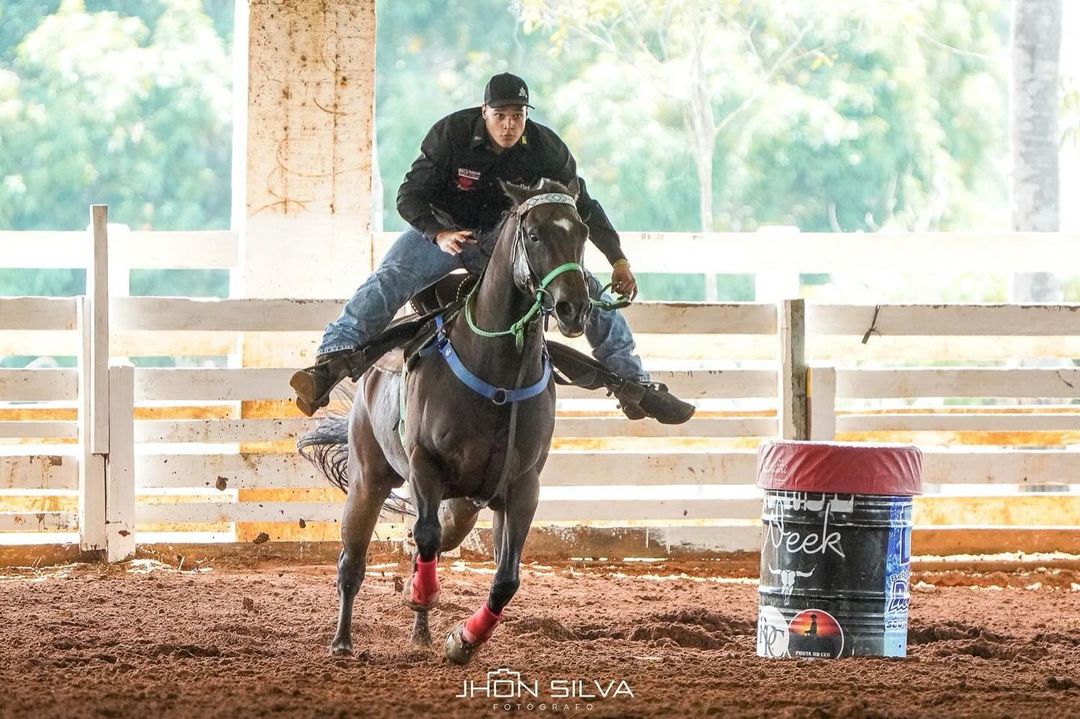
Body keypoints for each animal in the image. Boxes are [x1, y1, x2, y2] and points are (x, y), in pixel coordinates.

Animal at [300, 178, 596, 660]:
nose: (574, 308)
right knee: (354, 561)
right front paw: (422, 595)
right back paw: (343, 641)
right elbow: (424, 536)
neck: (496, 373)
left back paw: (421, 634)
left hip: (464, 506)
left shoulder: (523, 486)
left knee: (437, 542)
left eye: (582, 233)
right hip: (368, 479)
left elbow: (506, 578)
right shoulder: (425, 465)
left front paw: (463, 640)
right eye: (534, 234)